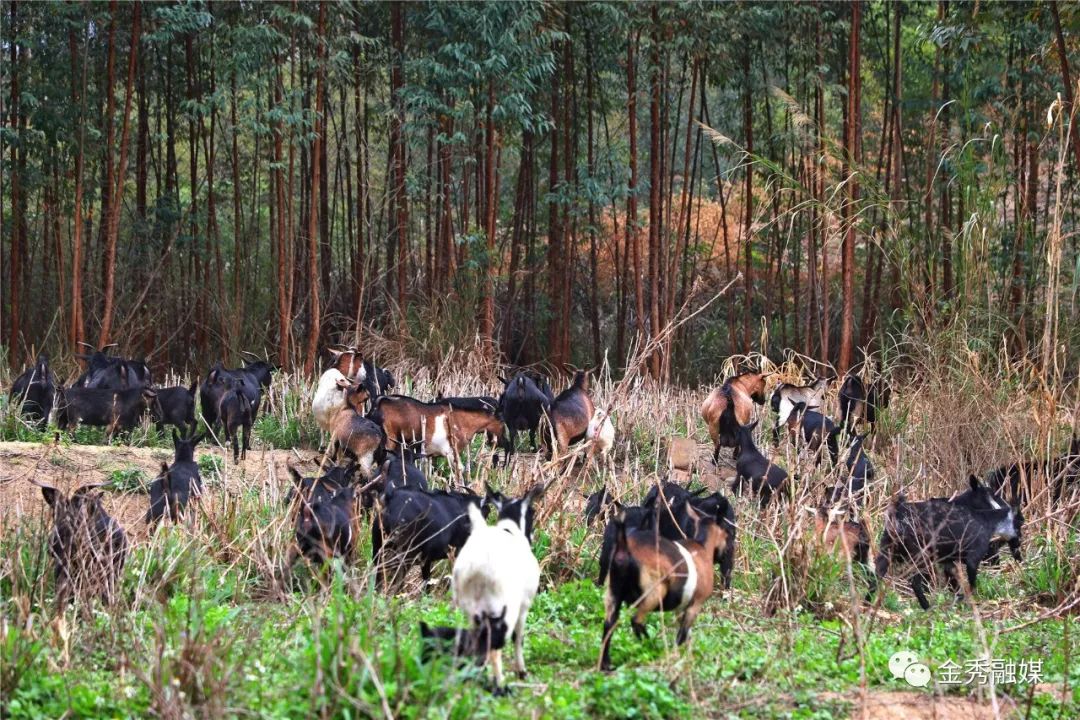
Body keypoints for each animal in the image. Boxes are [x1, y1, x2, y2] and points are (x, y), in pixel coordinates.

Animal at [451, 483, 544, 690]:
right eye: (532, 511)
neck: (510, 529)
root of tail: (479, 567)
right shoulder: (524, 605)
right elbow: (519, 637)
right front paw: (521, 671)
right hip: (503, 608)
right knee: (495, 645)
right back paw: (499, 684)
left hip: (471, 608)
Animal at [600, 507, 734, 669]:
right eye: (727, 533)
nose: (727, 553)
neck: (702, 547)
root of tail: (624, 548)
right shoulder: (695, 604)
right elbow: (682, 635)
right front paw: (676, 657)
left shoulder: (680, 608)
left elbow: (686, 635)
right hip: (653, 593)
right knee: (636, 620)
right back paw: (651, 646)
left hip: (612, 592)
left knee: (609, 624)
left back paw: (606, 664)